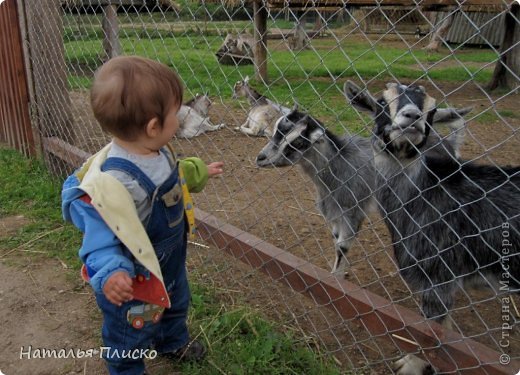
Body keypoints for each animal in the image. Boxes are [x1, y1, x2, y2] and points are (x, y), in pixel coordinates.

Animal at [256, 104, 472, 278]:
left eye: (298, 143)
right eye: (276, 131)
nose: (261, 158)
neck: (338, 166)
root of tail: (448, 144)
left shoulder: (353, 210)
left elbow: (342, 246)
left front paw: (335, 280)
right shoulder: (335, 212)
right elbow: (336, 241)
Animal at [344, 80, 516, 375]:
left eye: (432, 110)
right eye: (382, 101)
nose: (412, 117)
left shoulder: (439, 275)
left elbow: (430, 329)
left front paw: (411, 364)